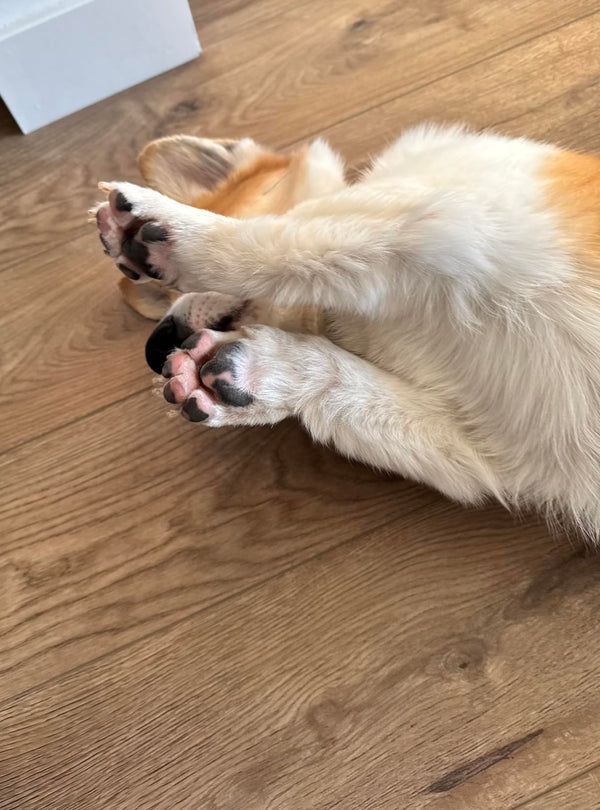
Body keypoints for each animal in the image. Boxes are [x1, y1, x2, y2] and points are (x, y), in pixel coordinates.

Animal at [92, 125, 600, 538]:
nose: (155, 346)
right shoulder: (495, 455)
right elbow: (346, 387)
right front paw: (260, 374)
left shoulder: (442, 219)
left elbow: (276, 242)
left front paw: (167, 231)